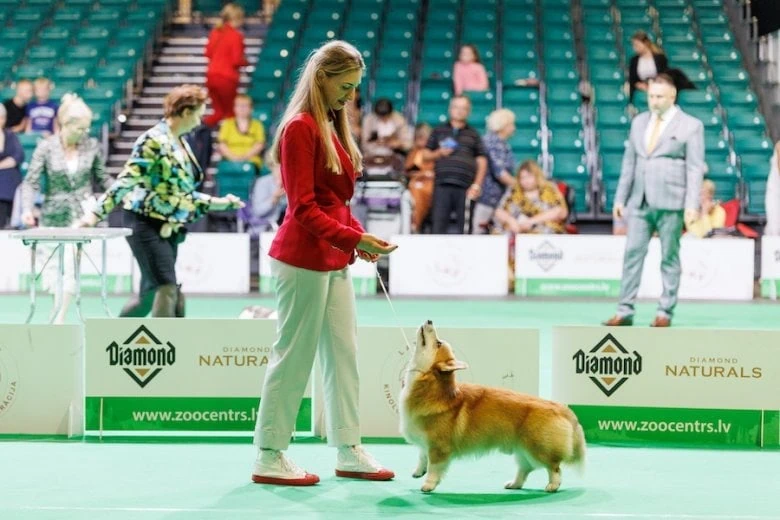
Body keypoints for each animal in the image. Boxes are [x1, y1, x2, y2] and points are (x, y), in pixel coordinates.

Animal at [402, 318, 584, 494]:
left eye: (438, 343)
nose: (429, 320)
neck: (432, 387)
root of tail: (562, 409)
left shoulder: (438, 448)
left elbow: (433, 469)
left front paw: (428, 485)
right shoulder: (425, 443)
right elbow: (422, 457)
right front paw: (418, 472)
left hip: (538, 449)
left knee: (554, 467)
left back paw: (552, 486)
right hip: (522, 451)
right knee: (525, 469)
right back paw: (514, 484)